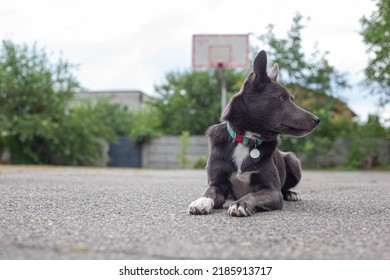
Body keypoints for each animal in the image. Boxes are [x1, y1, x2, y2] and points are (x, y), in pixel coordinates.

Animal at [189, 49, 320, 217]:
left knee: (284, 188)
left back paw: (291, 194)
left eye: (291, 99)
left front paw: (241, 204)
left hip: (293, 161)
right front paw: (201, 201)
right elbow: (209, 192)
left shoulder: (272, 191)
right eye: (282, 98)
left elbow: (253, 195)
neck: (247, 138)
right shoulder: (217, 184)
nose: (317, 119)